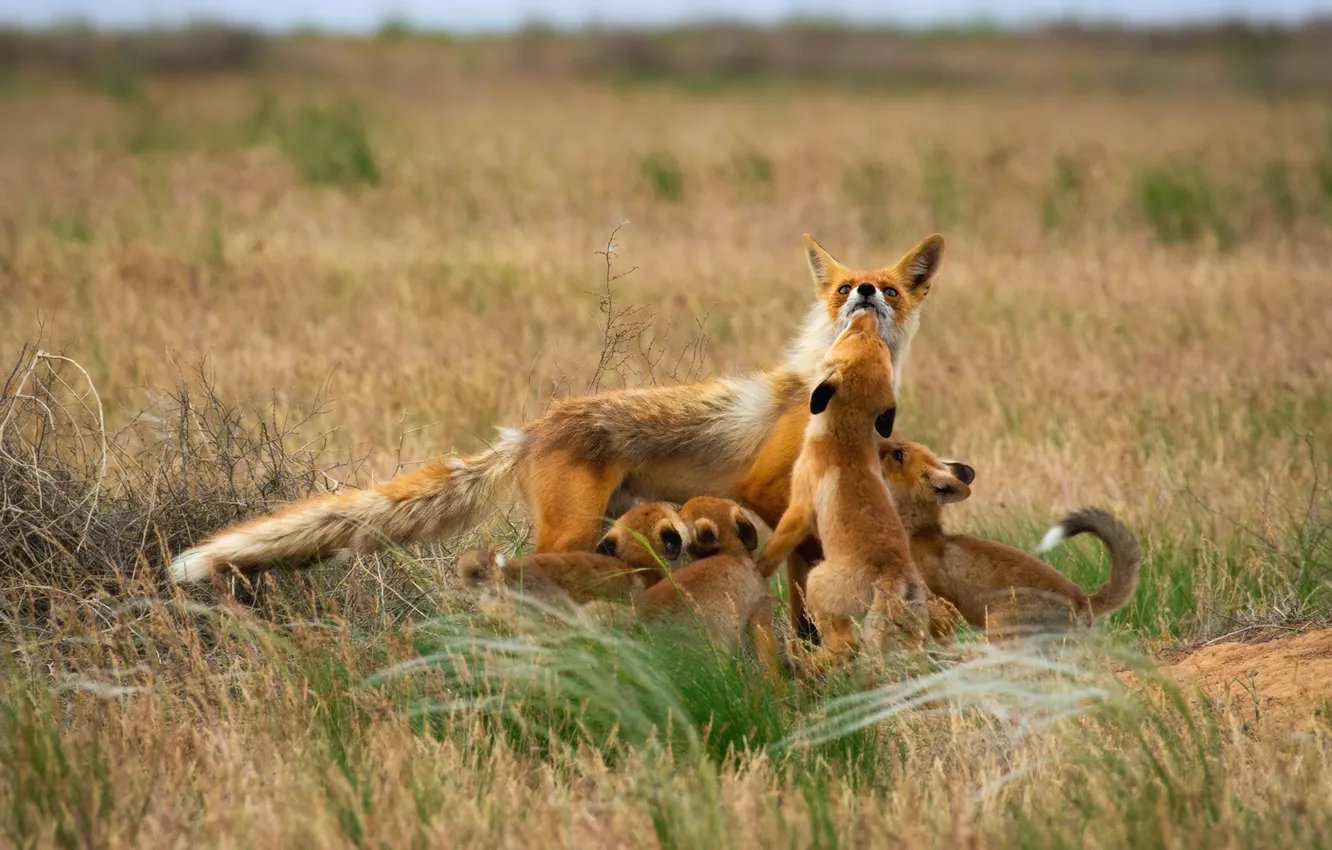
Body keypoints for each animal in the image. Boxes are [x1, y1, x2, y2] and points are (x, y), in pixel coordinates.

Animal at [169, 233, 944, 584]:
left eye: (888, 289)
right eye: (844, 288)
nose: (865, 294)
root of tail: (534, 427)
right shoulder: (762, 483)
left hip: (598, 525)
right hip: (569, 530)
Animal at [755, 310, 927, 669]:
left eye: (852, 338)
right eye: (876, 344)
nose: (868, 310)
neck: (846, 438)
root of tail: (893, 576)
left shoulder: (800, 506)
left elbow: (775, 547)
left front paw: (757, 566)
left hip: (817, 583)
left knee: (844, 645)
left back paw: (802, 661)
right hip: (914, 623)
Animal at [878, 440, 1141, 639]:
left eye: (897, 454)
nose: (877, 436)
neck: (917, 534)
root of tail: (1083, 599)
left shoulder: (942, 605)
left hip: (998, 628)